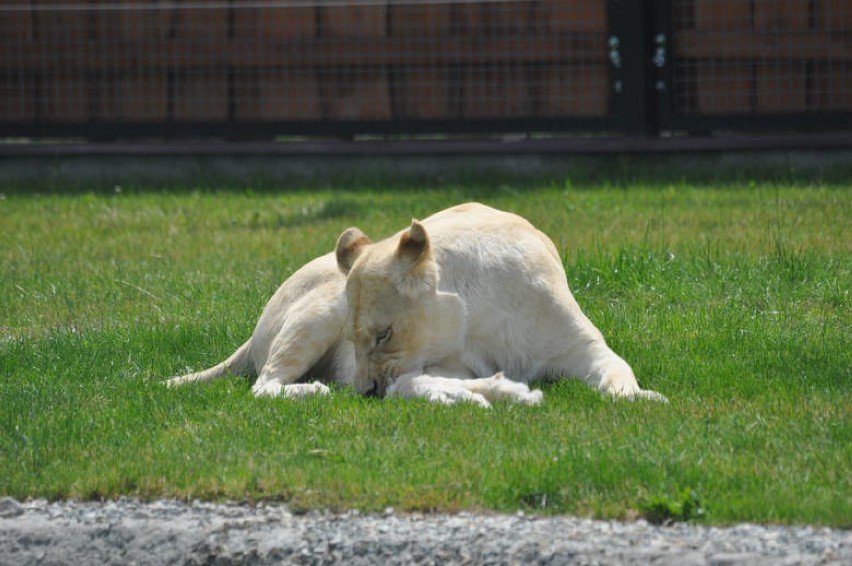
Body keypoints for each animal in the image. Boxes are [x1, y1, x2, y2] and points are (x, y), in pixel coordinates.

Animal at [166, 204, 668, 408]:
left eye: (384, 334)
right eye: (355, 339)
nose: (364, 392)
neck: (479, 320)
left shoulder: (583, 347)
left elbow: (617, 373)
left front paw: (642, 398)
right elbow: (416, 382)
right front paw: (472, 393)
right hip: (316, 315)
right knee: (264, 385)